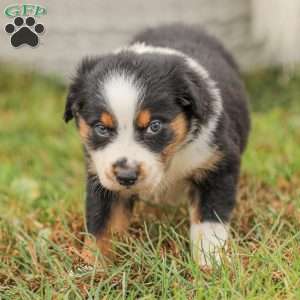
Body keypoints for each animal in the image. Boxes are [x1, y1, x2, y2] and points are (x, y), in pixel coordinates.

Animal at [63, 24, 251, 268]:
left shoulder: (218, 165)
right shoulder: (101, 177)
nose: (126, 176)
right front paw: (93, 270)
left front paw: (210, 265)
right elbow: (101, 226)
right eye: (101, 128)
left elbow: (209, 222)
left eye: (154, 126)